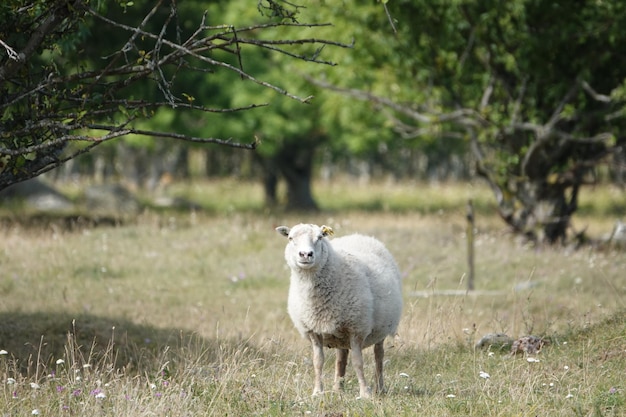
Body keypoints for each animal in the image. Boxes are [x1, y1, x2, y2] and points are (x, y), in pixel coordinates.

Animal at [276, 223, 402, 398]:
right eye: (290, 238)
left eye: (320, 237)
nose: (306, 254)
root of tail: (359, 236)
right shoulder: (313, 330)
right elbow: (318, 362)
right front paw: (317, 392)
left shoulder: (357, 329)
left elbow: (358, 362)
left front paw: (364, 393)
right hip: (341, 333)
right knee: (341, 359)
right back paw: (338, 388)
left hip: (380, 329)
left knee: (379, 356)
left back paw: (380, 388)